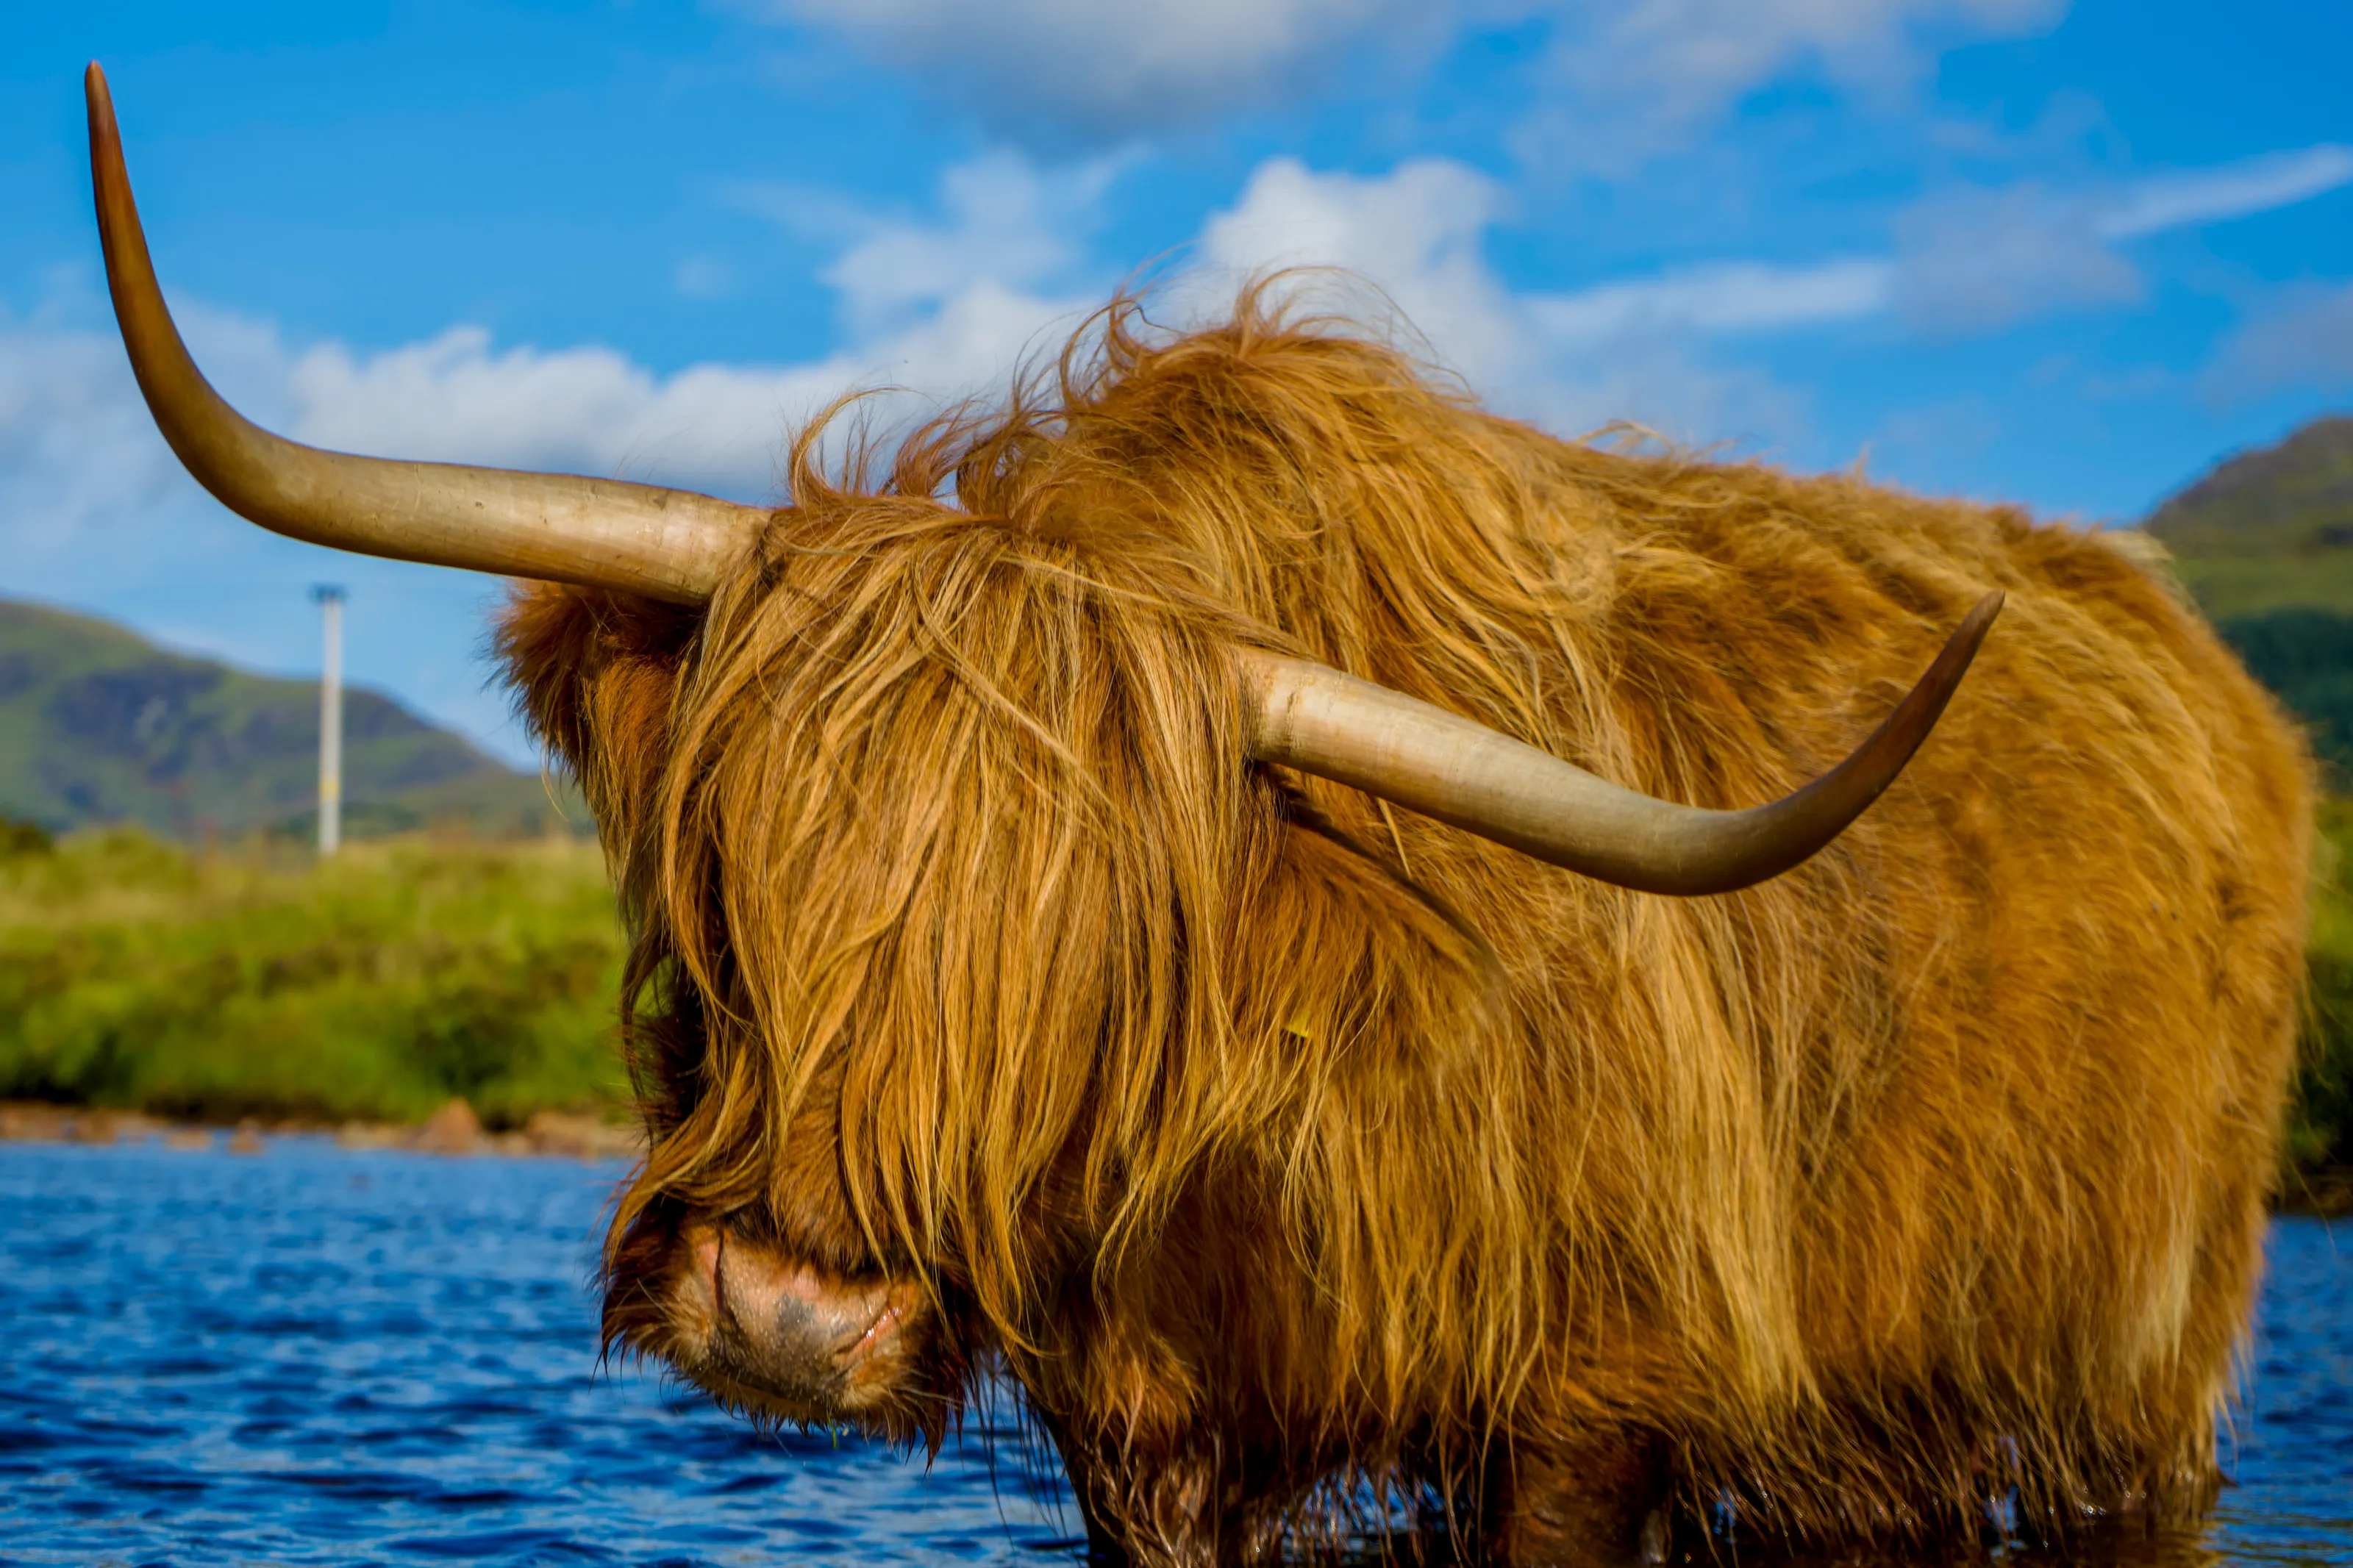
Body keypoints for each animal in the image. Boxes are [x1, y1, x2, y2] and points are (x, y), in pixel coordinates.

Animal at [84, 64, 2310, 1567]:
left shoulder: (1600, 1387)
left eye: (1087, 934)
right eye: (743, 858)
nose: (791, 1318)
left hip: (2134, 1376)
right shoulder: (1145, 1427)